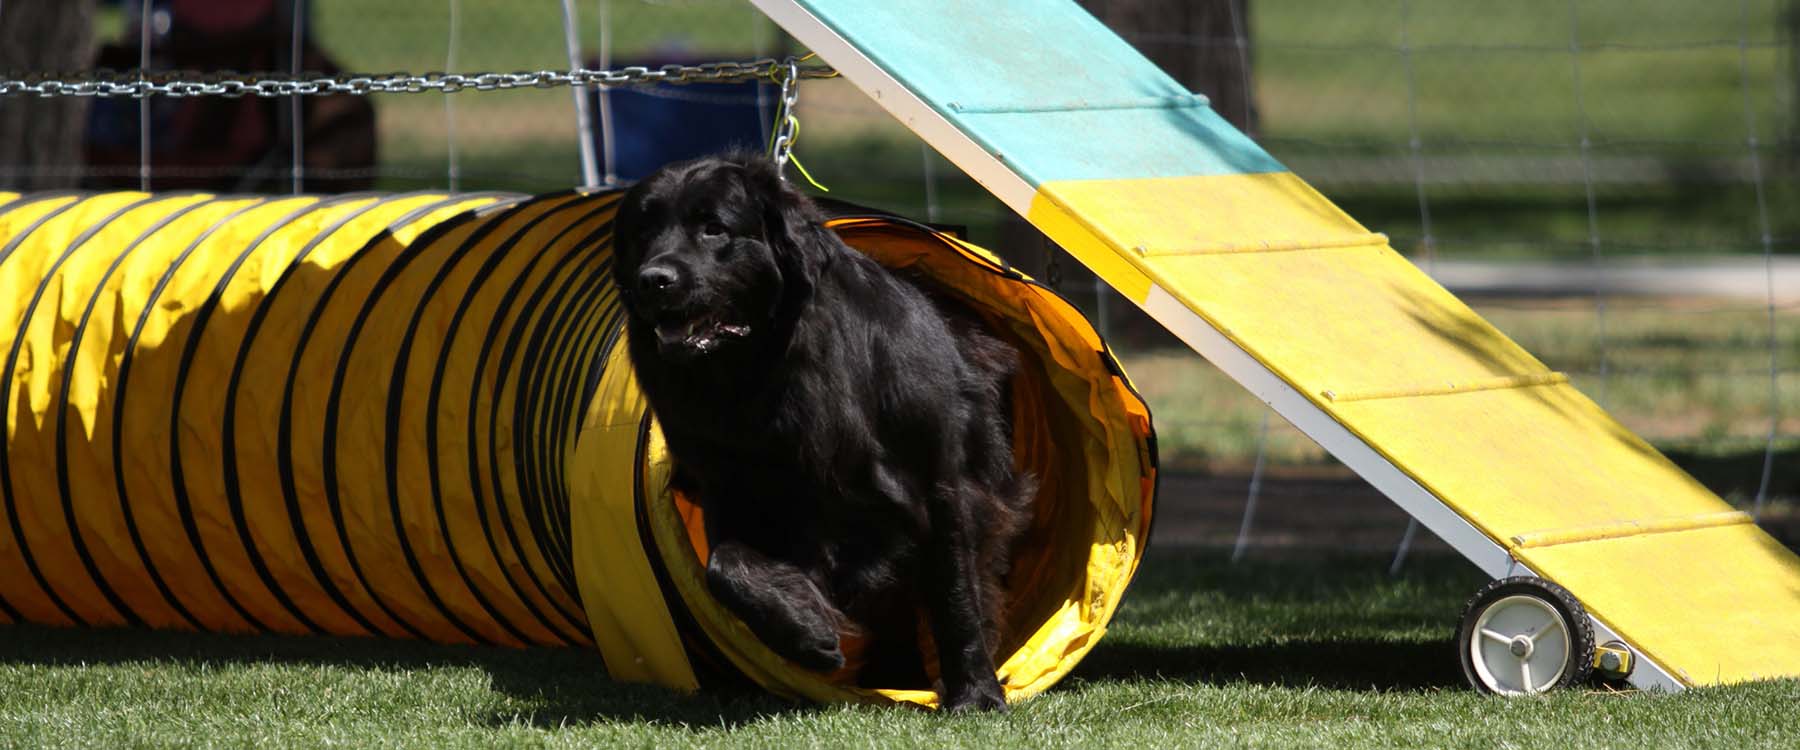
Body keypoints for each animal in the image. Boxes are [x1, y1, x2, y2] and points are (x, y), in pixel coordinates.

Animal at [612, 153, 1036, 708]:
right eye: (643, 232)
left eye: (713, 228)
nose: (653, 279)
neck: (760, 374)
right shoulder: (732, 487)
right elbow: (726, 566)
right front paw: (806, 630)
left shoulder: (940, 486)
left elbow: (956, 594)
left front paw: (976, 694)